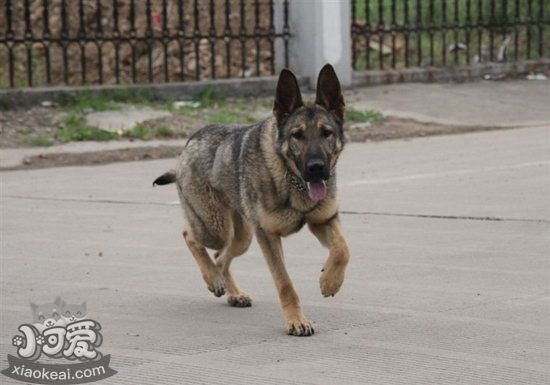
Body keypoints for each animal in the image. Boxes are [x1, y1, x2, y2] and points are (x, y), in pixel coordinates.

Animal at [154, 64, 354, 334]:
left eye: (327, 133)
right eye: (297, 135)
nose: (316, 168)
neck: (291, 179)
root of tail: (189, 142)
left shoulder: (323, 220)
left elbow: (343, 248)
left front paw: (330, 281)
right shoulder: (268, 236)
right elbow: (285, 282)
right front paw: (296, 320)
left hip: (242, 237)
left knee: (221, 257)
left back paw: (233, 292)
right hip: (216, 228)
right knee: (191, 237)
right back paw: (213, 278)